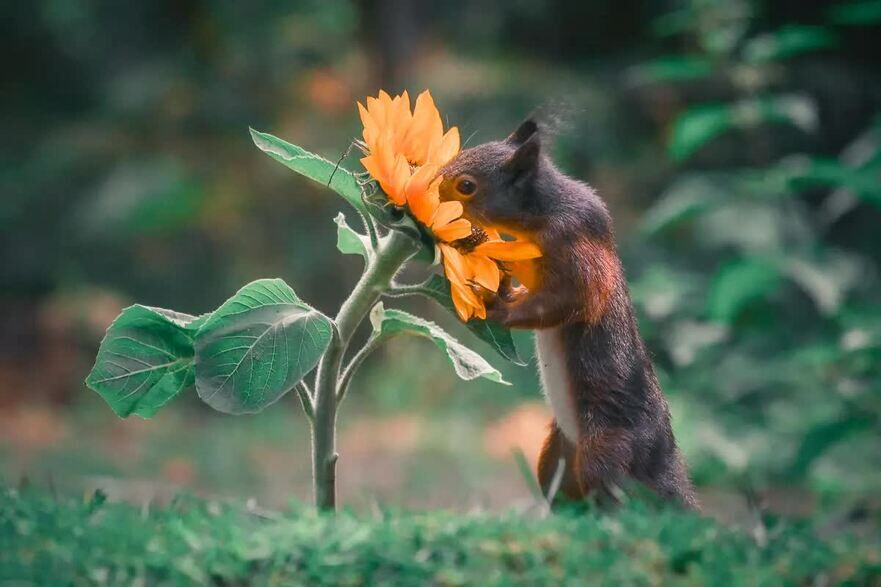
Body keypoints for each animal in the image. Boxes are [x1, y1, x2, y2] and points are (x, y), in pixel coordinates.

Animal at [436, 118, 696, 510]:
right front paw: (502, 283)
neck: (544, 209)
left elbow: (564, 302)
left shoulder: (575, 249)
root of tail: (659, 461)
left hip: (605, 452)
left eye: (466, 186)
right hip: (554, 458)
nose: (428, 187)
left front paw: (498, 306)